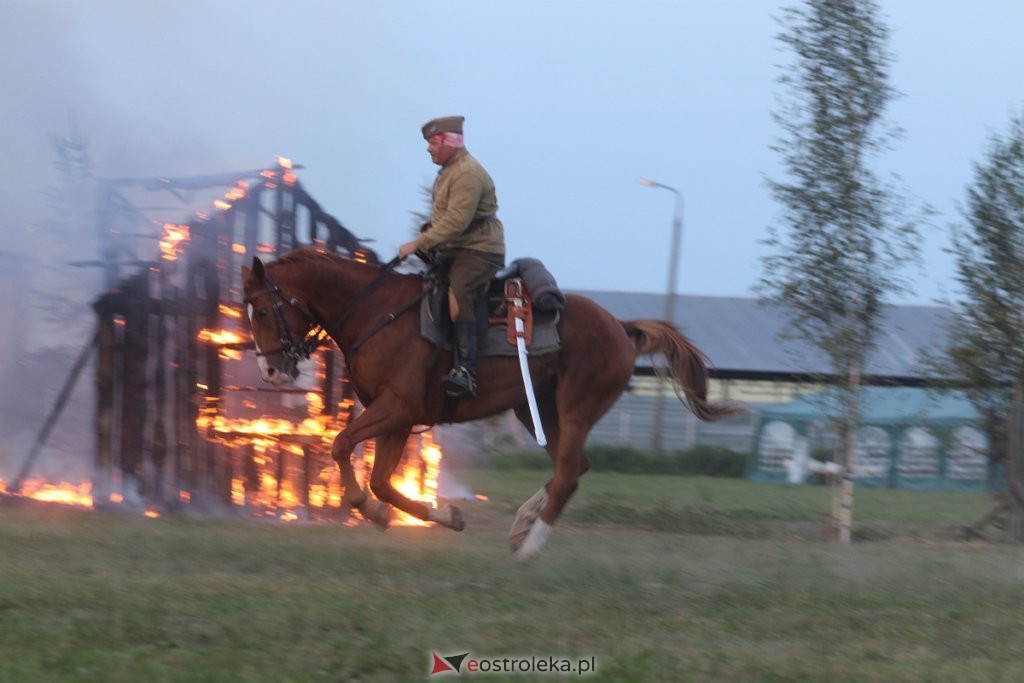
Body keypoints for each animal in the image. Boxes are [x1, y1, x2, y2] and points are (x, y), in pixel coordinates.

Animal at [241, 248, 745, 557]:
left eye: (263, 310)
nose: (270, 372)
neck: (376, 313)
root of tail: (619, 327)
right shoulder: (398, 418)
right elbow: (382, 481)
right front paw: (440, 515)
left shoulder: (397, 408)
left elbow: (343, 446)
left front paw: (369, 509)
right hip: (536, 410)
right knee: (573, 467)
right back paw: (522, 524)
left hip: (575, 408)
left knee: (568, 474)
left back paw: (530, 546)